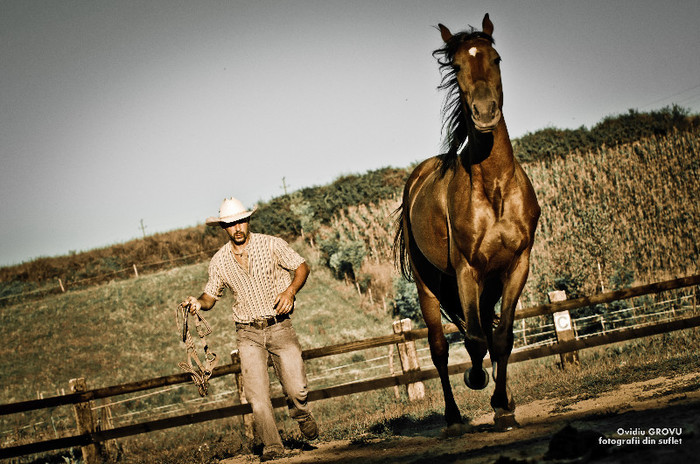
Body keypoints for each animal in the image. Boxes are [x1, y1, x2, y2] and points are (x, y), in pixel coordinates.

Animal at [396, 14, 540, 434]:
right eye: (457, 65)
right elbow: (474, 340)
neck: (494, 187)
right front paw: (477, 379)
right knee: (440, 348)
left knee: (488, 334)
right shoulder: (466, 270)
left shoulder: (517, 265)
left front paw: (504, 407)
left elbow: (502, 337)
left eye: (497, 58)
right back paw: (453, 417)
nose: (485, 112)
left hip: (489, 282)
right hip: (430, 286)